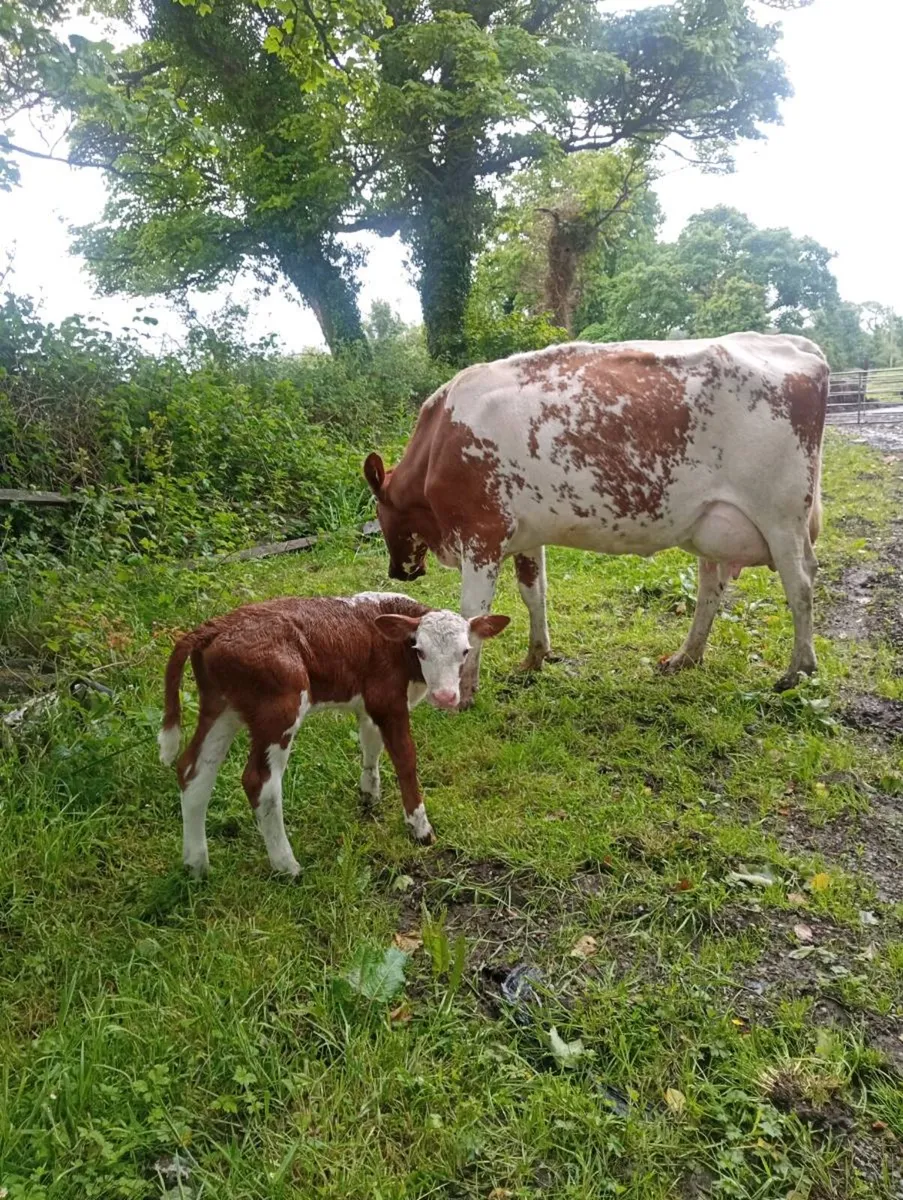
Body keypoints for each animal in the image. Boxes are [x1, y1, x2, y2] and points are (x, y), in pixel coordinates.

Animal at [158, 593, 509, 876]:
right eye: (419, 650)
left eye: (465, 651)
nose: (446, 697)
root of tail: (215, 626)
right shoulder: (388, 701)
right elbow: (405, 760)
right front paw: (420, 828)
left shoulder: (369, 704)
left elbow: (370, 745)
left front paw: (369, 795)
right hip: (280, 709)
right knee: (260, 783)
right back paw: (286, 866)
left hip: (220, 708)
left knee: (194, 772)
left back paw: (196, 864)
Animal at [363, 332, 828, 705]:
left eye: (378, 510)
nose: (398, 572)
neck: (439, 443)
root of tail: (794, 344)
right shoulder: (526, 535)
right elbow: (534, 594)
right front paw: (536, 657)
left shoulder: (481, 534)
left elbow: (473, 612)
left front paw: (465, 691)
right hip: (712, 527)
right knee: (711, 588)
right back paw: (686, 657)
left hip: (782, 516)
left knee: (801, 585)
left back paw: (798, 671)